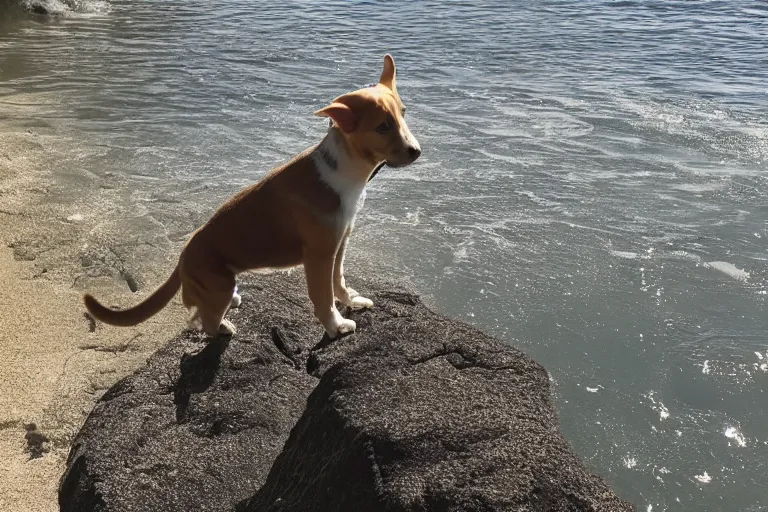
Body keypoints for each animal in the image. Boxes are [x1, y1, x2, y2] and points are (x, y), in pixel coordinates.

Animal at [84, 53, 420, 340]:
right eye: (383, 126)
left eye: (403, 114)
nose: (416, 151)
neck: (343, 171)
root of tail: (182, 258)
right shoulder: (319, 255)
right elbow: (323, 297)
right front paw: (336, 326)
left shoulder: (340, 243)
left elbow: (339, 281)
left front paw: (352, 301)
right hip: (218, 283)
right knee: (201, 319)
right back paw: (223, 327)